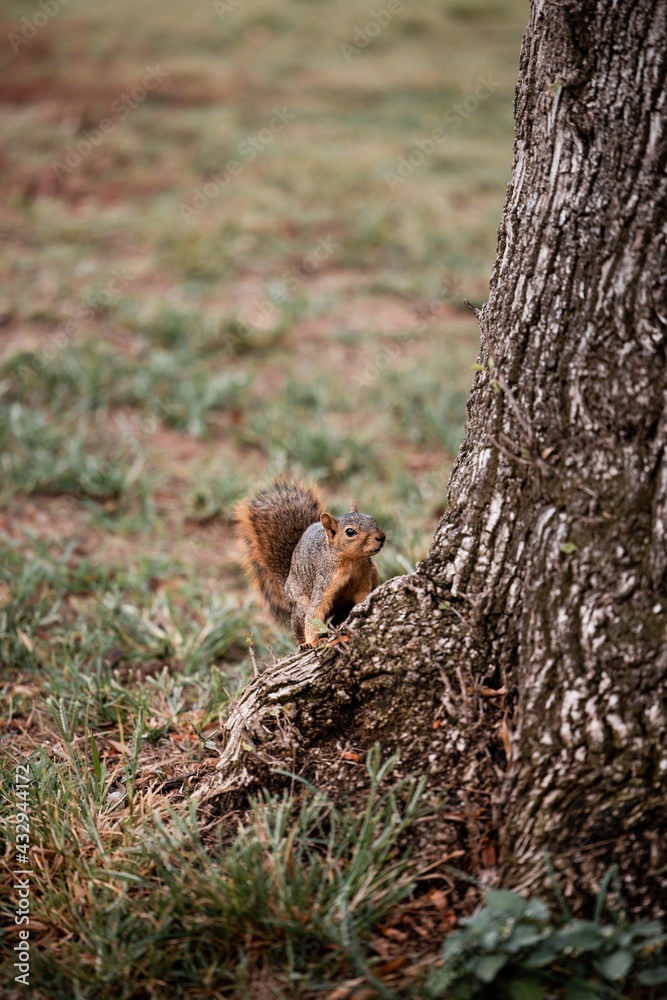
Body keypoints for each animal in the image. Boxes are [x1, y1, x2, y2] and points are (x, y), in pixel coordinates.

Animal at [235, 480, 386, 647]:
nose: (381, 537)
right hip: (299, 603)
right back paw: (303, 643)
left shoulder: (364, 575)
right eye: (350, 532)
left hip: (374, 572)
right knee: (299, 624)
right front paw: (313, 642)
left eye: (372, 518)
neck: (351, 562)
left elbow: (363, 597)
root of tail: (287, 580)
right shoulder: (324, 580)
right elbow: (315, 611)